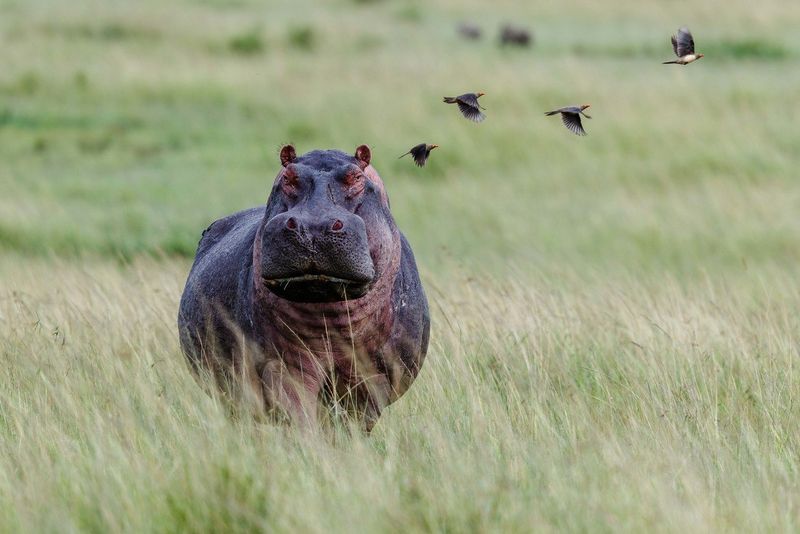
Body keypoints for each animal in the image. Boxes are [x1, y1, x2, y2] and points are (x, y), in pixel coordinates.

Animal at [177, 144, 430, 431]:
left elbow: (354, 421)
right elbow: (296, 410)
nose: (313, 226)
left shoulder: (372, 374)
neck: (330, 317)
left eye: (356, 177)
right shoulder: (284, 365)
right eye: (288, 176)